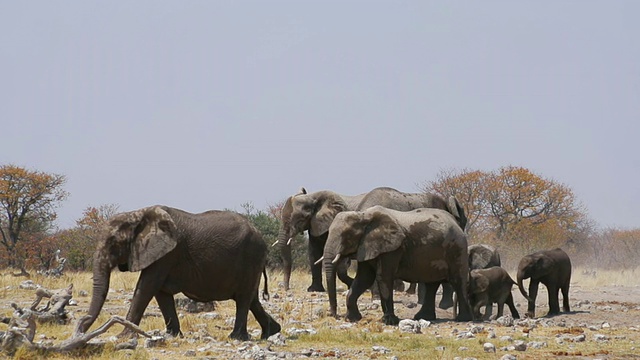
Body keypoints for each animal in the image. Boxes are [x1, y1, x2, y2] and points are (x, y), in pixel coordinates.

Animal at [77, 205, 280, 340]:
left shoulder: (167, 254)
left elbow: (146, 288)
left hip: (251, 258)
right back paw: (271, 333)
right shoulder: (162, 254)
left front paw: (123, 336)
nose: (82, 327)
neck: (138, 214)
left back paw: (236, 337)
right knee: (251, 299)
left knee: (244, 299)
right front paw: (172, 336)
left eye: (114, 244)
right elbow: (160, 293)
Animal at [276, 187, 464, 292]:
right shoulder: (317, 225)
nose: (286, 289)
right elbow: (314, 252)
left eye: (298, 220)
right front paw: (314, 290)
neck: (313, 196)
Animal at [322, 205, 472, 324]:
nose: (335, 316)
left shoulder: (392, 248)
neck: (363, 216)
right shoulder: (366, 246)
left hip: (457, 248)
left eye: (346, 236)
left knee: (458, 281)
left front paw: (389, 321)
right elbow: (364, 279)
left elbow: (384, 277)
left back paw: (463, 319)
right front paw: (352, 319)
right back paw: (423, 317)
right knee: (431, 284)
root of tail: (457, 223)